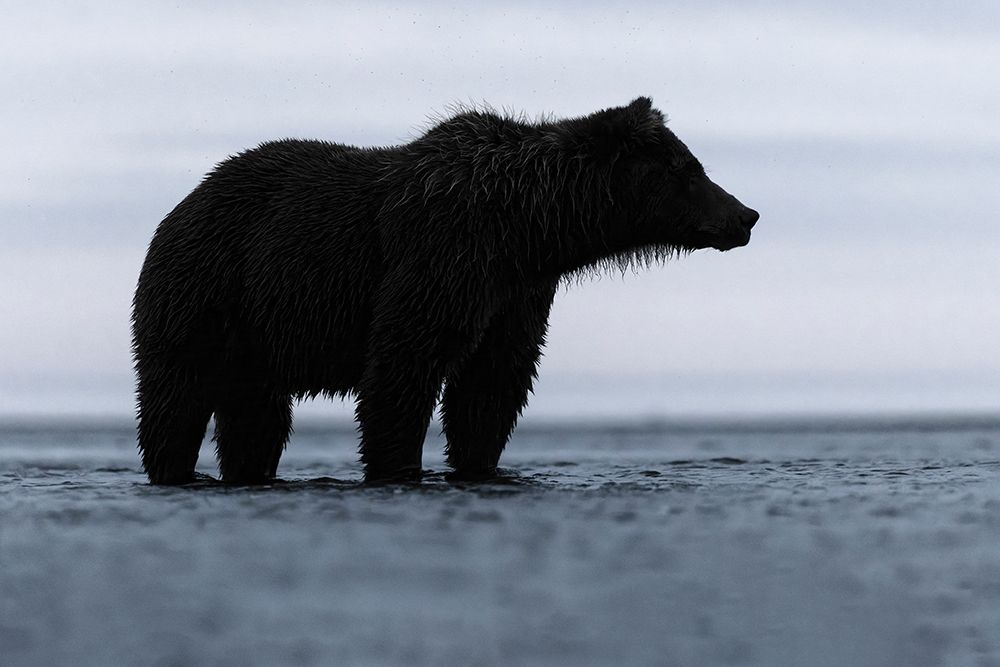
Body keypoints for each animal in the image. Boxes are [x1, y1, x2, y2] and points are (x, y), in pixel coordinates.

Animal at [132, 97, 758, 485]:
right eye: (688, 168)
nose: (746, 215)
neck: (527, 227)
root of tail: (182, 203)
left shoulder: (516, 292)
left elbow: (491, 385)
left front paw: (478, 463)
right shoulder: (443, 253)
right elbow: (402, 365)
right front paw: (397, 465)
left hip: (255, 335)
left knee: (254, 415)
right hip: (204, 289)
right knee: (176, 398)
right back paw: (173, 468)